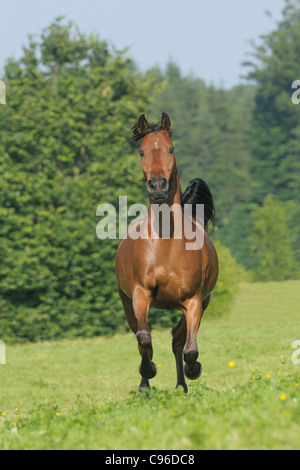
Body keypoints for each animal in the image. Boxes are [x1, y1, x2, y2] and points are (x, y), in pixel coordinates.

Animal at [115, 113, 218, 392]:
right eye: (141, 151)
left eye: (171, 149)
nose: (158, 186)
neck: (166, 244)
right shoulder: (140, 295)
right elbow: (144, 338)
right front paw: (148, 371)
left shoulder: (194, 301)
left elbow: (190, 348)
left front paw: (193, 369)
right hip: (126, 302)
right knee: (141, 337)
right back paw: (145, 385)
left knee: (177, 339)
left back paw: (182, 384)